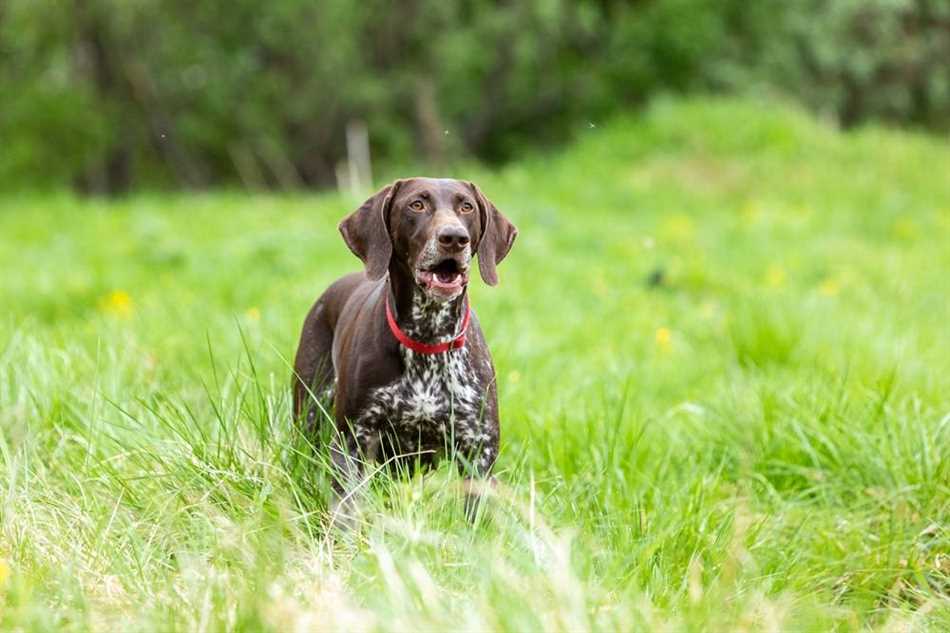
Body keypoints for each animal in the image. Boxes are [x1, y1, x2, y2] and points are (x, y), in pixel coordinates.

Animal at [294, 177, 516, 524]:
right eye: (417, 204)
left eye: (466, 206)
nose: (454, 238)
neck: (428, 337)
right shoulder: (353, 440)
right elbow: (346, 509)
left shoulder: (479, 449)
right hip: (311, 413)